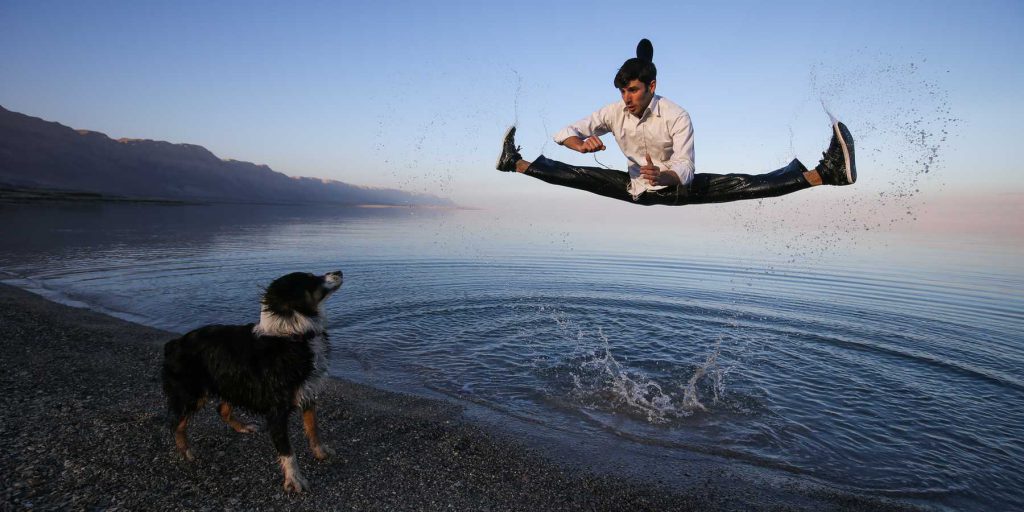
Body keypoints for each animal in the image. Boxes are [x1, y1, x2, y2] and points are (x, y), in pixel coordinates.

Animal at [161, 272, 342, 491]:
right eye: (312, 279)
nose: (340, 272)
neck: (294, 335)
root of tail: (174, 343)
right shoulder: (276, 410)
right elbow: (287, 450)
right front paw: (294, 480)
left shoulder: (307, 393)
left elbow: (313, 428)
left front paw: (320, 452)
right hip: (193, 393)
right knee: (176, 423)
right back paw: (187, 452)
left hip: (231, 383)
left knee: (221, 409)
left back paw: (243, 427)